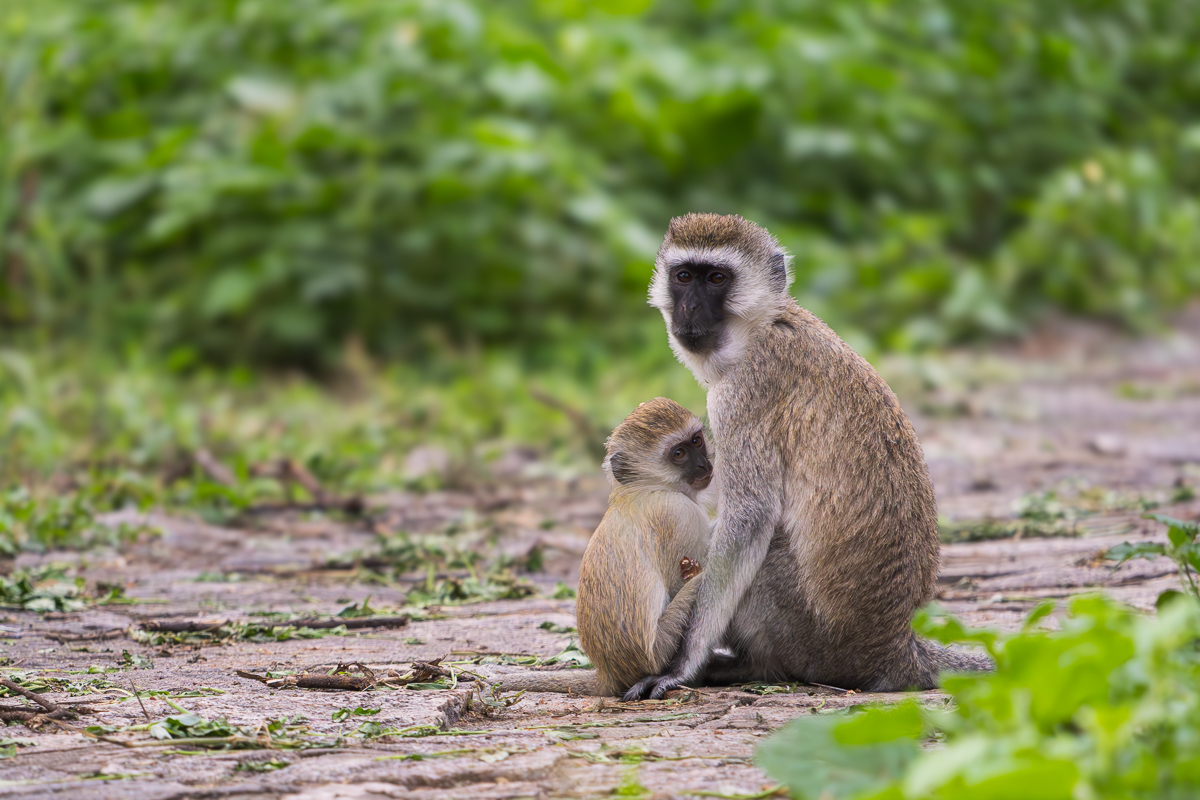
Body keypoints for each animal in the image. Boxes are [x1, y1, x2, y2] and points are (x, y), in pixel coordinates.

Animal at [475, 397, 715, 697]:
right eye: (679, 453)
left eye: (697, 441)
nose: (704, 466)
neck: (647, 488)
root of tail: (610, 674)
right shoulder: (679, 514)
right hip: (663, 644)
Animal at [624, 213, 991, 700]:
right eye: (684, 276)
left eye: (717, 278)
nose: (689, 310)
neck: (762, 326)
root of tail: (897, 648)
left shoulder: (743, 394)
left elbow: (749, 518)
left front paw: (682, 665)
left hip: (812, 635)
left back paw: (756, 666)